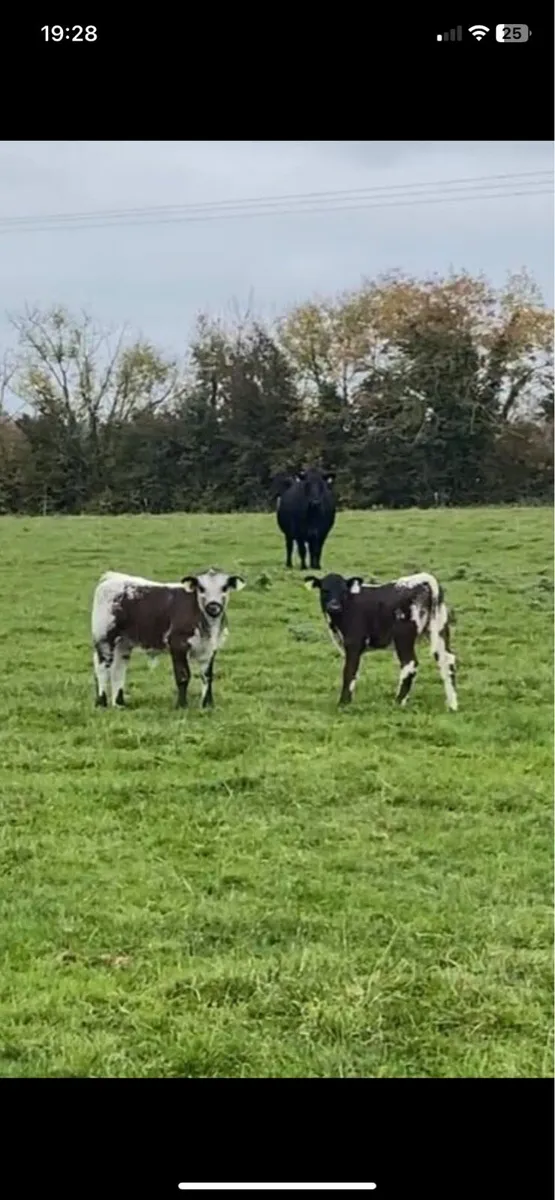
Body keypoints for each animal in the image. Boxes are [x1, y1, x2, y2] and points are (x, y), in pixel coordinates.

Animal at [91, 567, 246, 709]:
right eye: (201, 588)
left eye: (224, 587)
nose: (213, 607)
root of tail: (113, 578)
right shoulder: (178, 644)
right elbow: (183, 676)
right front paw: (181, 705)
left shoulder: (210, 648)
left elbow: (207, 676)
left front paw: (208, 705)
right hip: (104, 638)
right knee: (102, 668)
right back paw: (101, 703)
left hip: (123, 642)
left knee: (118, 669)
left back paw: (119, 704)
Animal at [304, 570, 458, 711]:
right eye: (325, 590)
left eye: (343, 591)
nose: (334, 606)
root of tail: (424, 579)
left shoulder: (354, 642)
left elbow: (349, 670)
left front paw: (343, 703)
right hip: (439, 628)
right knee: (447, 660)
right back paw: (452, 704)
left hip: (404, 637)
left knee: (410, 663)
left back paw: (398, 702)